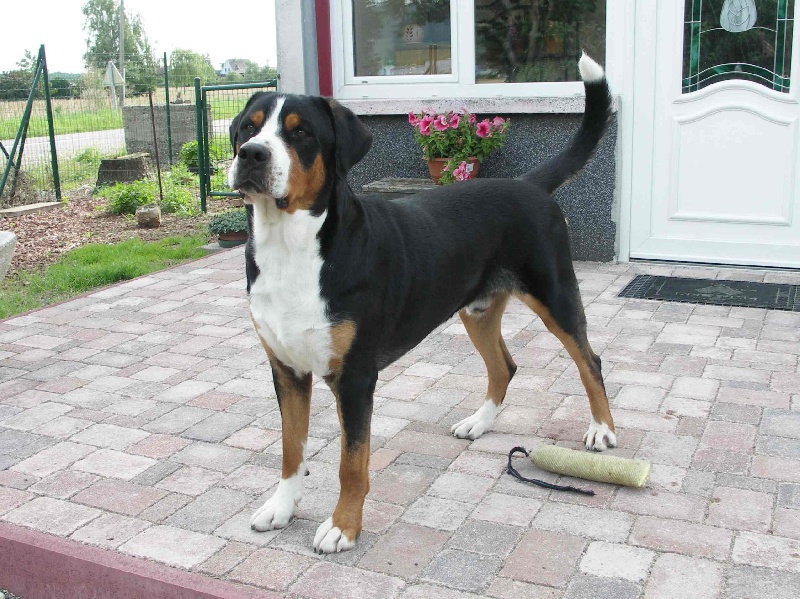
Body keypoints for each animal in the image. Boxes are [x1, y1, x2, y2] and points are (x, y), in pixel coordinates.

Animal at [228, 54, 616, 556]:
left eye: (301, 133)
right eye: (248, 127)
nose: (251, 154)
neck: (291, 248)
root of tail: (527, 184)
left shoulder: (355, 377)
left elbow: (351, 462)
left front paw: (343, 526)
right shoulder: (286, 369)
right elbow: (291, 448)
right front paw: (281, 507)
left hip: (556, 297)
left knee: (590, 361)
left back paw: (602, 429)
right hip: (477, 311)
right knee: (504, 366)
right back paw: (479, 423)